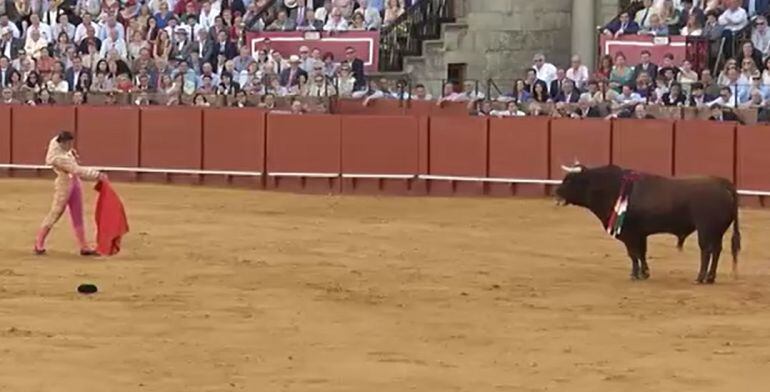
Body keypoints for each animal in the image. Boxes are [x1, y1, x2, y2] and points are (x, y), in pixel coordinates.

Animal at [552, 163, 736, 284]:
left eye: (570, 180)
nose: (556, 192)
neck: (612, 187)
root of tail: (722, 183)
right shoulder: (640, 234)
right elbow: (641, 253)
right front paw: (644, 273)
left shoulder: (629, 233)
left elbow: (633, 254)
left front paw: (635, 275)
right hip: (717, 231)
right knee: (717, 250)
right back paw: (710, 277)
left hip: (706, 229)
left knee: (706, 251)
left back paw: (700, 277)